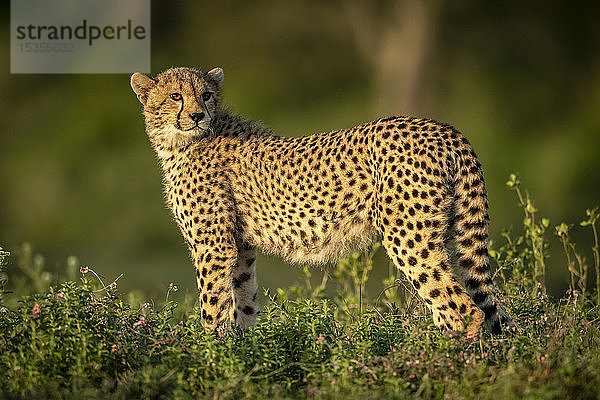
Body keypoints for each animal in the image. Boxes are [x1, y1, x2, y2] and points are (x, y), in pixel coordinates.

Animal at [130, 65, 510, 334]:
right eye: (176, 96)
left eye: (206, 95)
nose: (197, 114)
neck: (180, 142)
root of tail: (442, 128)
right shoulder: (240, 247)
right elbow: (243, 303)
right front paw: (242, 355)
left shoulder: (214, 248)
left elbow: (212, 309)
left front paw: (208, 356)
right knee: (478, 308)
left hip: (409, 237)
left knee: (463, 310)